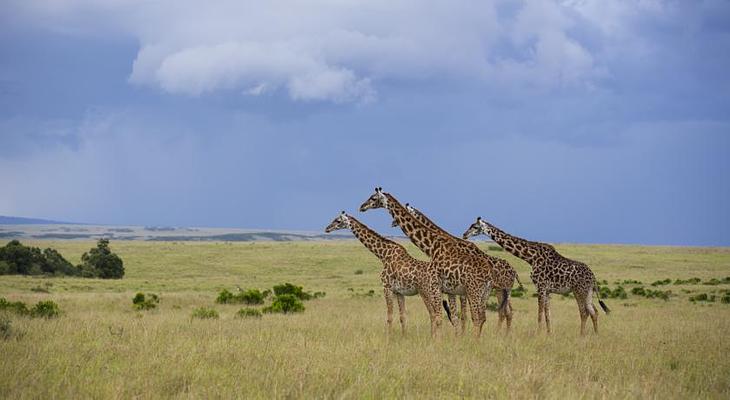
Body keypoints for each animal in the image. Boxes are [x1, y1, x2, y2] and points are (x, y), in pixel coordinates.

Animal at [358, 188, 494, 338]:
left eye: (373, 198)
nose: (362, 207)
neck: (433, 247)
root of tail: (488, 275)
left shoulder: (436, 286)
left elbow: (439, 317)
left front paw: (438, 340)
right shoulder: (448, 289)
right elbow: (450, 316)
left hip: (473, 291)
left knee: (476, 317)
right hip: (483, 293)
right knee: (482, 317)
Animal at [392, 203, 524, 332]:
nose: (393, 223)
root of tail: (514, 272)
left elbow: (464, 315)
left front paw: (462, 334)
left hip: (503, 289)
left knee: (504, 312)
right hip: (500, 290)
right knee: (507, 312)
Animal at [460, 217, 608, 336]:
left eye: (475, 227)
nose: (464, 234)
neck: (530, 257)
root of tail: (593, 277)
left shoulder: (540, 286)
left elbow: (540, 313)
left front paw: (538, 334)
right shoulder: (547, 290)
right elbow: (548, 314)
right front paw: (548, 334)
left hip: (579, 290)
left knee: (584, 312)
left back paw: (581, 335)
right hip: (588, 292)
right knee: (594, 311)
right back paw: (596, 334)